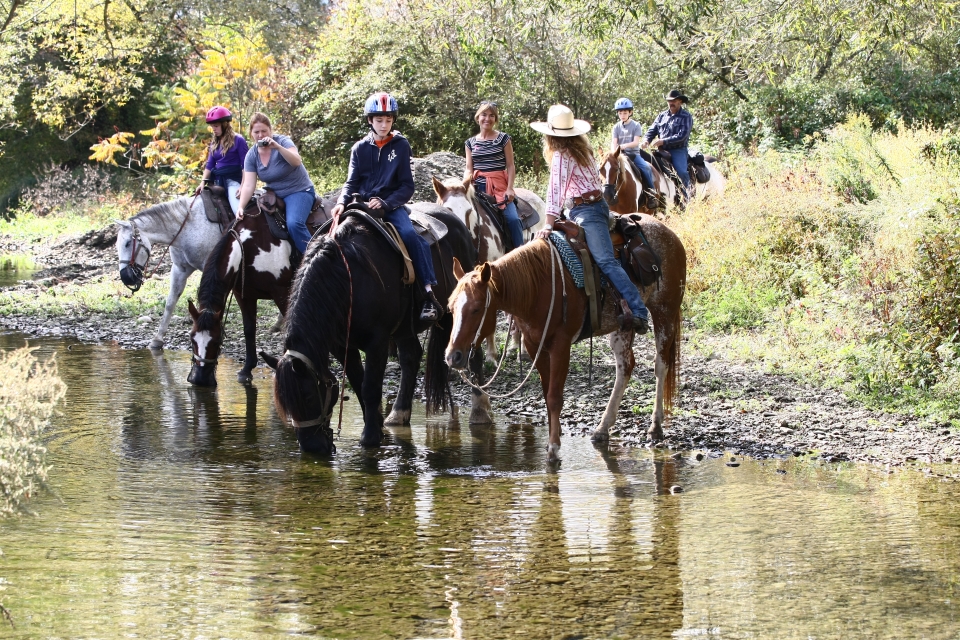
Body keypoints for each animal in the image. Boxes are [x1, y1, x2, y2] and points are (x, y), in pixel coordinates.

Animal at [115, 196, 224, 350]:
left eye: (128, 243)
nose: (126, 277)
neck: (187, 227)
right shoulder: (180, 269)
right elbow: (170, 302)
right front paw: (158, 339)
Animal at [260, 205, 480, 456]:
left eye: (307, 396)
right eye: (285, 404)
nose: (312, 448)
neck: (347, 280)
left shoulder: (378, 342)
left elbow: (370, 387)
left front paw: (370, 437)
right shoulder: (341, 345)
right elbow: (358, 382)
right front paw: (375, 425)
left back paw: (480, 412)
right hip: (405, 328)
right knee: (410, 357)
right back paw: (398, 413)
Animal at [442, 215, 684, 460]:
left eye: (476, 309)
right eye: (450, 307)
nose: (453, 357)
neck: (538, 286)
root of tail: (668, 233)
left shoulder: (561, 344)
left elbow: (554, 397)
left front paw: (553, 448)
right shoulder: (534, 345)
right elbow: (547, 394)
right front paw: (554, 437)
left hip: (664, 311)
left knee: (661, 365)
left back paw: (656, 426)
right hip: (622, 326)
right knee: (625, 367)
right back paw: (603, 428)